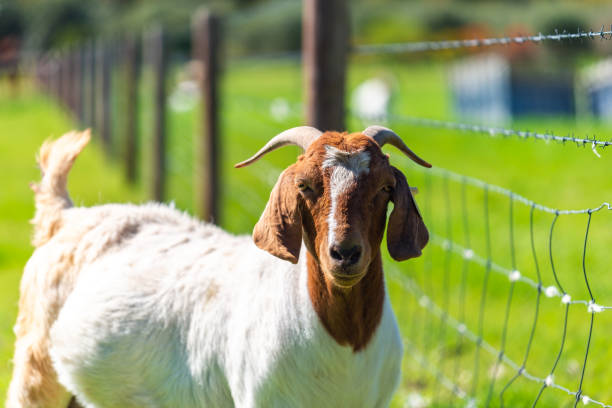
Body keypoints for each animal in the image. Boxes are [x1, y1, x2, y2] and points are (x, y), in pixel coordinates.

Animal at [8, 126, 430, 406]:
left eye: (384, 188)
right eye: (305, 186)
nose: (344, 253)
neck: (345, 342)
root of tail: (65, 216)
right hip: (35, 362)